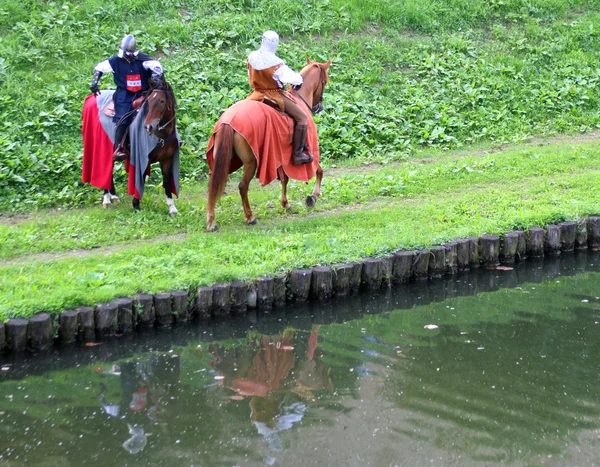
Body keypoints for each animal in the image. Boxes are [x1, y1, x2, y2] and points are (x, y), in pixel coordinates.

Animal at [204, 59, 330, 231]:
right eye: (325, 82)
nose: (319, 107)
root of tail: (227, 122)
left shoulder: (279, 158)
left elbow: (284, 179)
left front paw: (285, 203)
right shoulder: (307, 155)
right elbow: (319, 171)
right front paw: (313, 196)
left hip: (223, 159)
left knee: (213, 185)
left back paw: (211, 221)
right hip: (251, 162)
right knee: (243, 186)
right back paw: (250, 217)